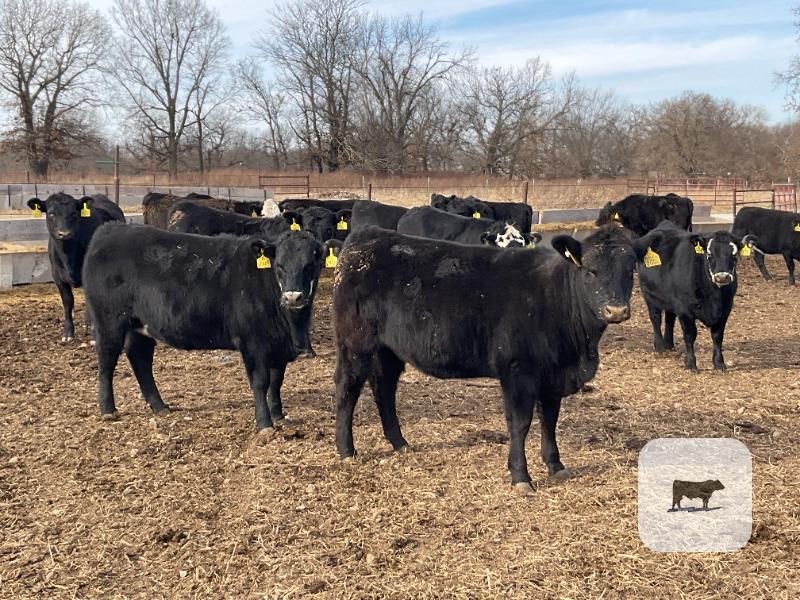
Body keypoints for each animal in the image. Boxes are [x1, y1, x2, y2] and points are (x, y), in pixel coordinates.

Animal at [26, 193, 125, 342]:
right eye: (51, 213)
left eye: (73, 213)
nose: (64, 233)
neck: (68, 255)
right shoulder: (58, 276)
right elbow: (68, 302)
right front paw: (68, 333)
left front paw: (94, 334)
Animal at [82, 224, 324, 431]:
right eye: (279, 265)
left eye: (310, 265)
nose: (292, 297)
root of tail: (109, 230)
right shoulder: (253, 343)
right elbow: (261, 382)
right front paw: (265, 424)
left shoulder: (278, 346)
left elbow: (276, 382)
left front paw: (279, 416)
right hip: (109, 320)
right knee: (107, 361)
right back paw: (108, 410)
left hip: (139, 325)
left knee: (139, 358)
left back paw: (160, 406)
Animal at [332, 225, 661, 493]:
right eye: (590, 270)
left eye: (630, 270)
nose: (616, 311)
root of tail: (366, 237)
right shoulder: (517, 371)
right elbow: (520, 423)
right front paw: (521, 477)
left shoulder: (552, 374)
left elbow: (550, 420)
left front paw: (556, 466)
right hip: (355, 344)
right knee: (347, 390)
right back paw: (347, 451)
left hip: (388, 350)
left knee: (384, 389)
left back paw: (400, 443)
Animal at [638, 221, 757, 371]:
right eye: (709, 255)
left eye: (734, 257)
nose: (722, 277)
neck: (714, 297)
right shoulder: (685, 309)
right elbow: (690, 335)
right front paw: (690, 364)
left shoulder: (725, 309)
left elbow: (717, 336)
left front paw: (719, 364)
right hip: (650, 296)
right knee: (655, 319)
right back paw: (660, 348)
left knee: (669, 319)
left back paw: (669, 345)